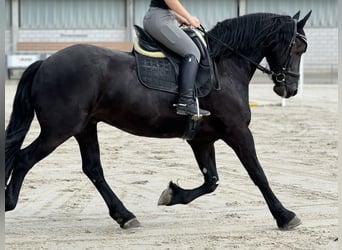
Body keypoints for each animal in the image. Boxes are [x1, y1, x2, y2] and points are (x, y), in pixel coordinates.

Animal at [4, 12, 310, 229]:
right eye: (297, 47)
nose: (290, 89)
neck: (224, 65)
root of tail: (45, 63)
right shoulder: (238, 132)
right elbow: (258, 174)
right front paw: (284, 216)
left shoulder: (202, 139)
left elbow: (211, 181)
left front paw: (172, 195)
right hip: (59, 130)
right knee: (24, 158)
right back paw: (8, 202)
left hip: (84, 128)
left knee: (93, 169)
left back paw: (125, 215)